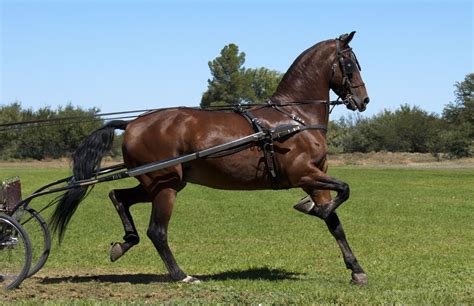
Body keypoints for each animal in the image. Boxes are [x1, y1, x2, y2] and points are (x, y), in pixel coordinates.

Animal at [51, 31, 370, 284]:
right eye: (350, 65)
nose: (363, 100)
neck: (293, 119)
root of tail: (132, 124)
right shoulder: (304, 173)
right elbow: (343, 193)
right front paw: (314, 210)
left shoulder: (314, 179)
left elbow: (336, 223)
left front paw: (356, 270)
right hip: (165, 186)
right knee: (157, 231)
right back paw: (181, 275)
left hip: (157, 183)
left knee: (118, 196)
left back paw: (125, 243)